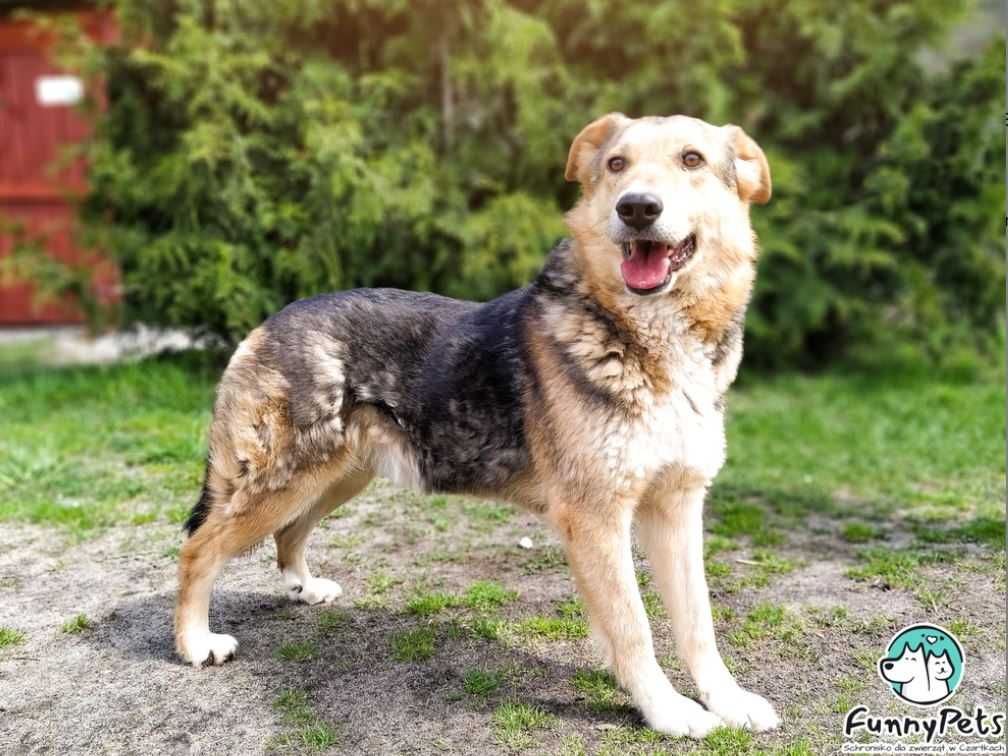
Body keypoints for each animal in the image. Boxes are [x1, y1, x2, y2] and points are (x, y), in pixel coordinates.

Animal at [175, 112, 778, 741]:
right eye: (617, 164)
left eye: (691, 160)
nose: (636, 208)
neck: (647, 338)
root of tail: (267, 323)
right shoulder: (597, 519)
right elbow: (633, 627)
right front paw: (666, 711)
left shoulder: (677, 508)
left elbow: (698, 623)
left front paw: (727, 700)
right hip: (287, 482)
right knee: (198, 550)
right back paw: (195, 643)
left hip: (336, 477)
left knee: (287, 535)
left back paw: (303, 587)